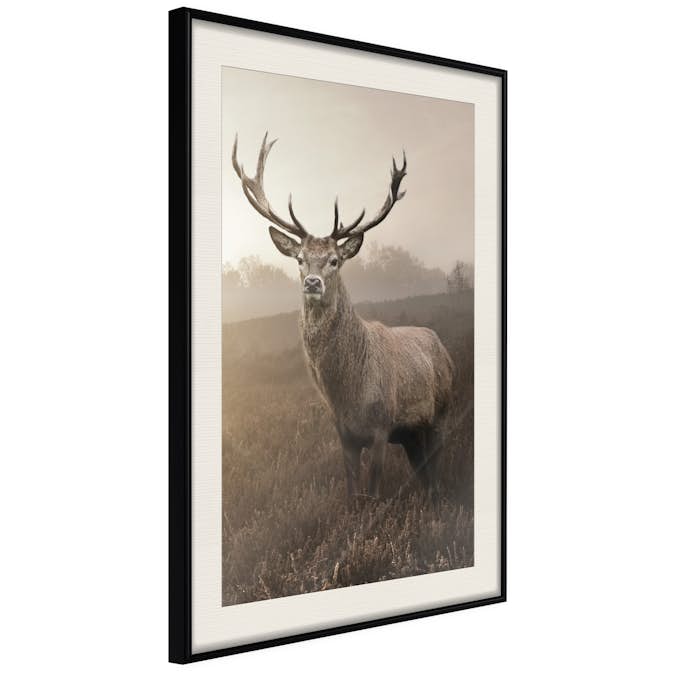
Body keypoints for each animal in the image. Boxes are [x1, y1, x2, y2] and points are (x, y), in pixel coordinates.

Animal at [232, 133, 456, 498]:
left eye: (335, 260)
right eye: (300, 259)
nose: (312, 281)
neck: (348, 395)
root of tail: (441, 344)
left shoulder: (381, 425)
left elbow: (374, 490)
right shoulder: (344, 434)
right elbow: (352, 493)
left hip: (442, 410)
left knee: (436, 468)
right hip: (411, 435)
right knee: (424, 472)